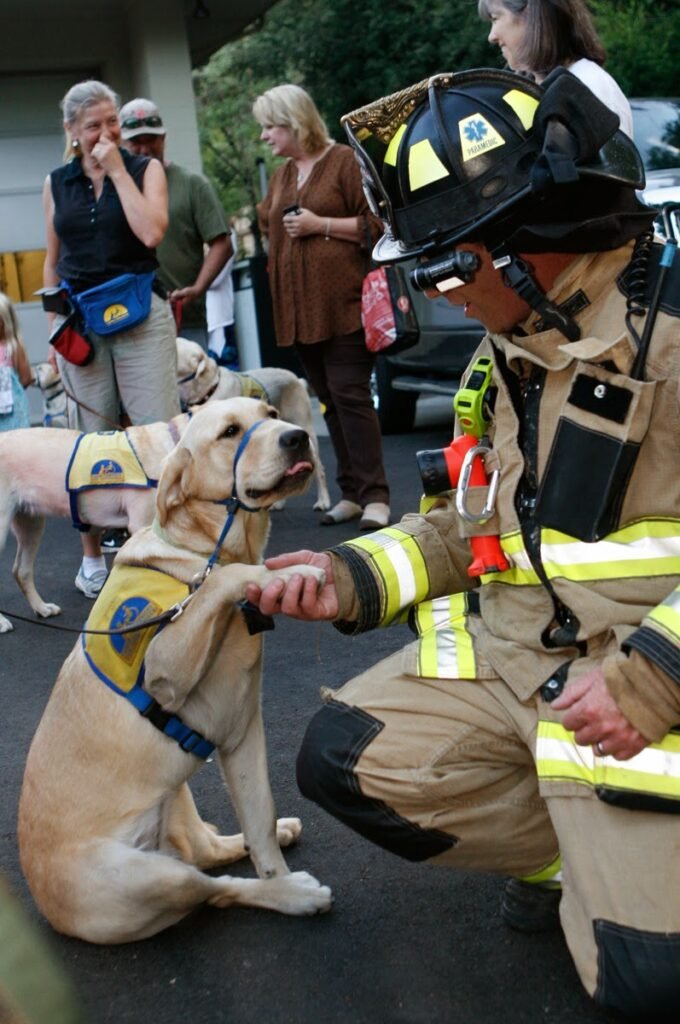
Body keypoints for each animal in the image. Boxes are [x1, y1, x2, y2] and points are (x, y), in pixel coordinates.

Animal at [174, 335, 329, 512]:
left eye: (175, 347)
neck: (210, 389)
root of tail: (297, 378)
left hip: (306, 432)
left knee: (320, 470)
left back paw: (323, 501)